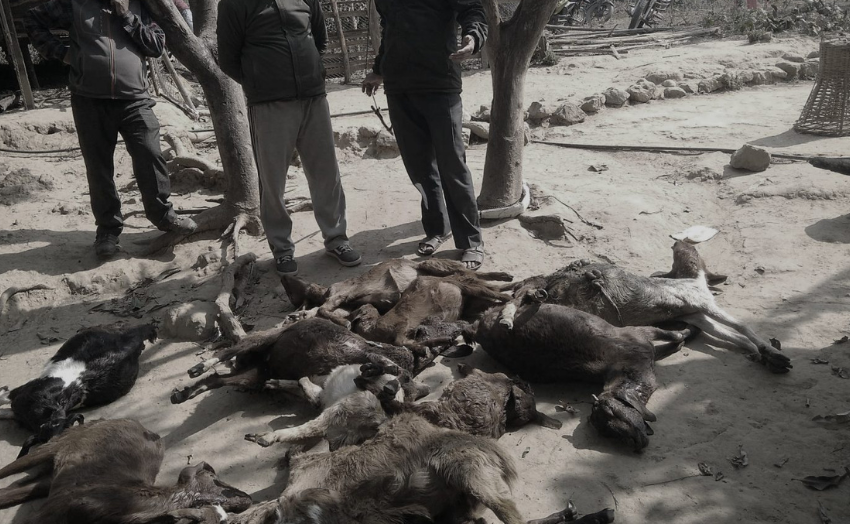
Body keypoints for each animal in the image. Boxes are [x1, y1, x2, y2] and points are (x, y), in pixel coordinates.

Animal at [0, 418, 252, 523]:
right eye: (213, 477)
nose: (246, 498)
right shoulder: (44, 516)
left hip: (49, 480)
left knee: (12, 490)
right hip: (54, 444)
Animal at [170, 318, 430, 405]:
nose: (390, 390)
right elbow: (384, 361)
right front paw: (382, 367)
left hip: (251, 377)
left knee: (217, 380)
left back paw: (182, 394)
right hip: (262, 340)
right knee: (226, 353)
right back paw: (195, 369)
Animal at [281, 258, 513, 327]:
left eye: (290, 291)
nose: (283, 276)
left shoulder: (340, 293)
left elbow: (322, 310)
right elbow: (323, 311)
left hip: (433, 264)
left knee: (471, 273)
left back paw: (504, 278)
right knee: (473, 277)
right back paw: (505, 283)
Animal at [468, 293, 696, 450]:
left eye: (614, 412)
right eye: (606, 431)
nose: (637, 443)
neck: (626, 370)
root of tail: (479, 329)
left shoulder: (641, 334)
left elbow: (674, 337)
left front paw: (687, 334)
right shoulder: (640, 337)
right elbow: (675, 336)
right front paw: (686, 335)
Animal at [499, 241, 790, 374]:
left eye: (692, 253)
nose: (677, 241)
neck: (692, 279)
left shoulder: (697, 313)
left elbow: (736, 334)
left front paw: (765, 353)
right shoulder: (702, 305)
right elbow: (742, 327)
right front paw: (770, 352)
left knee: (525, 293)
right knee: (522, 295)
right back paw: (507, 316)